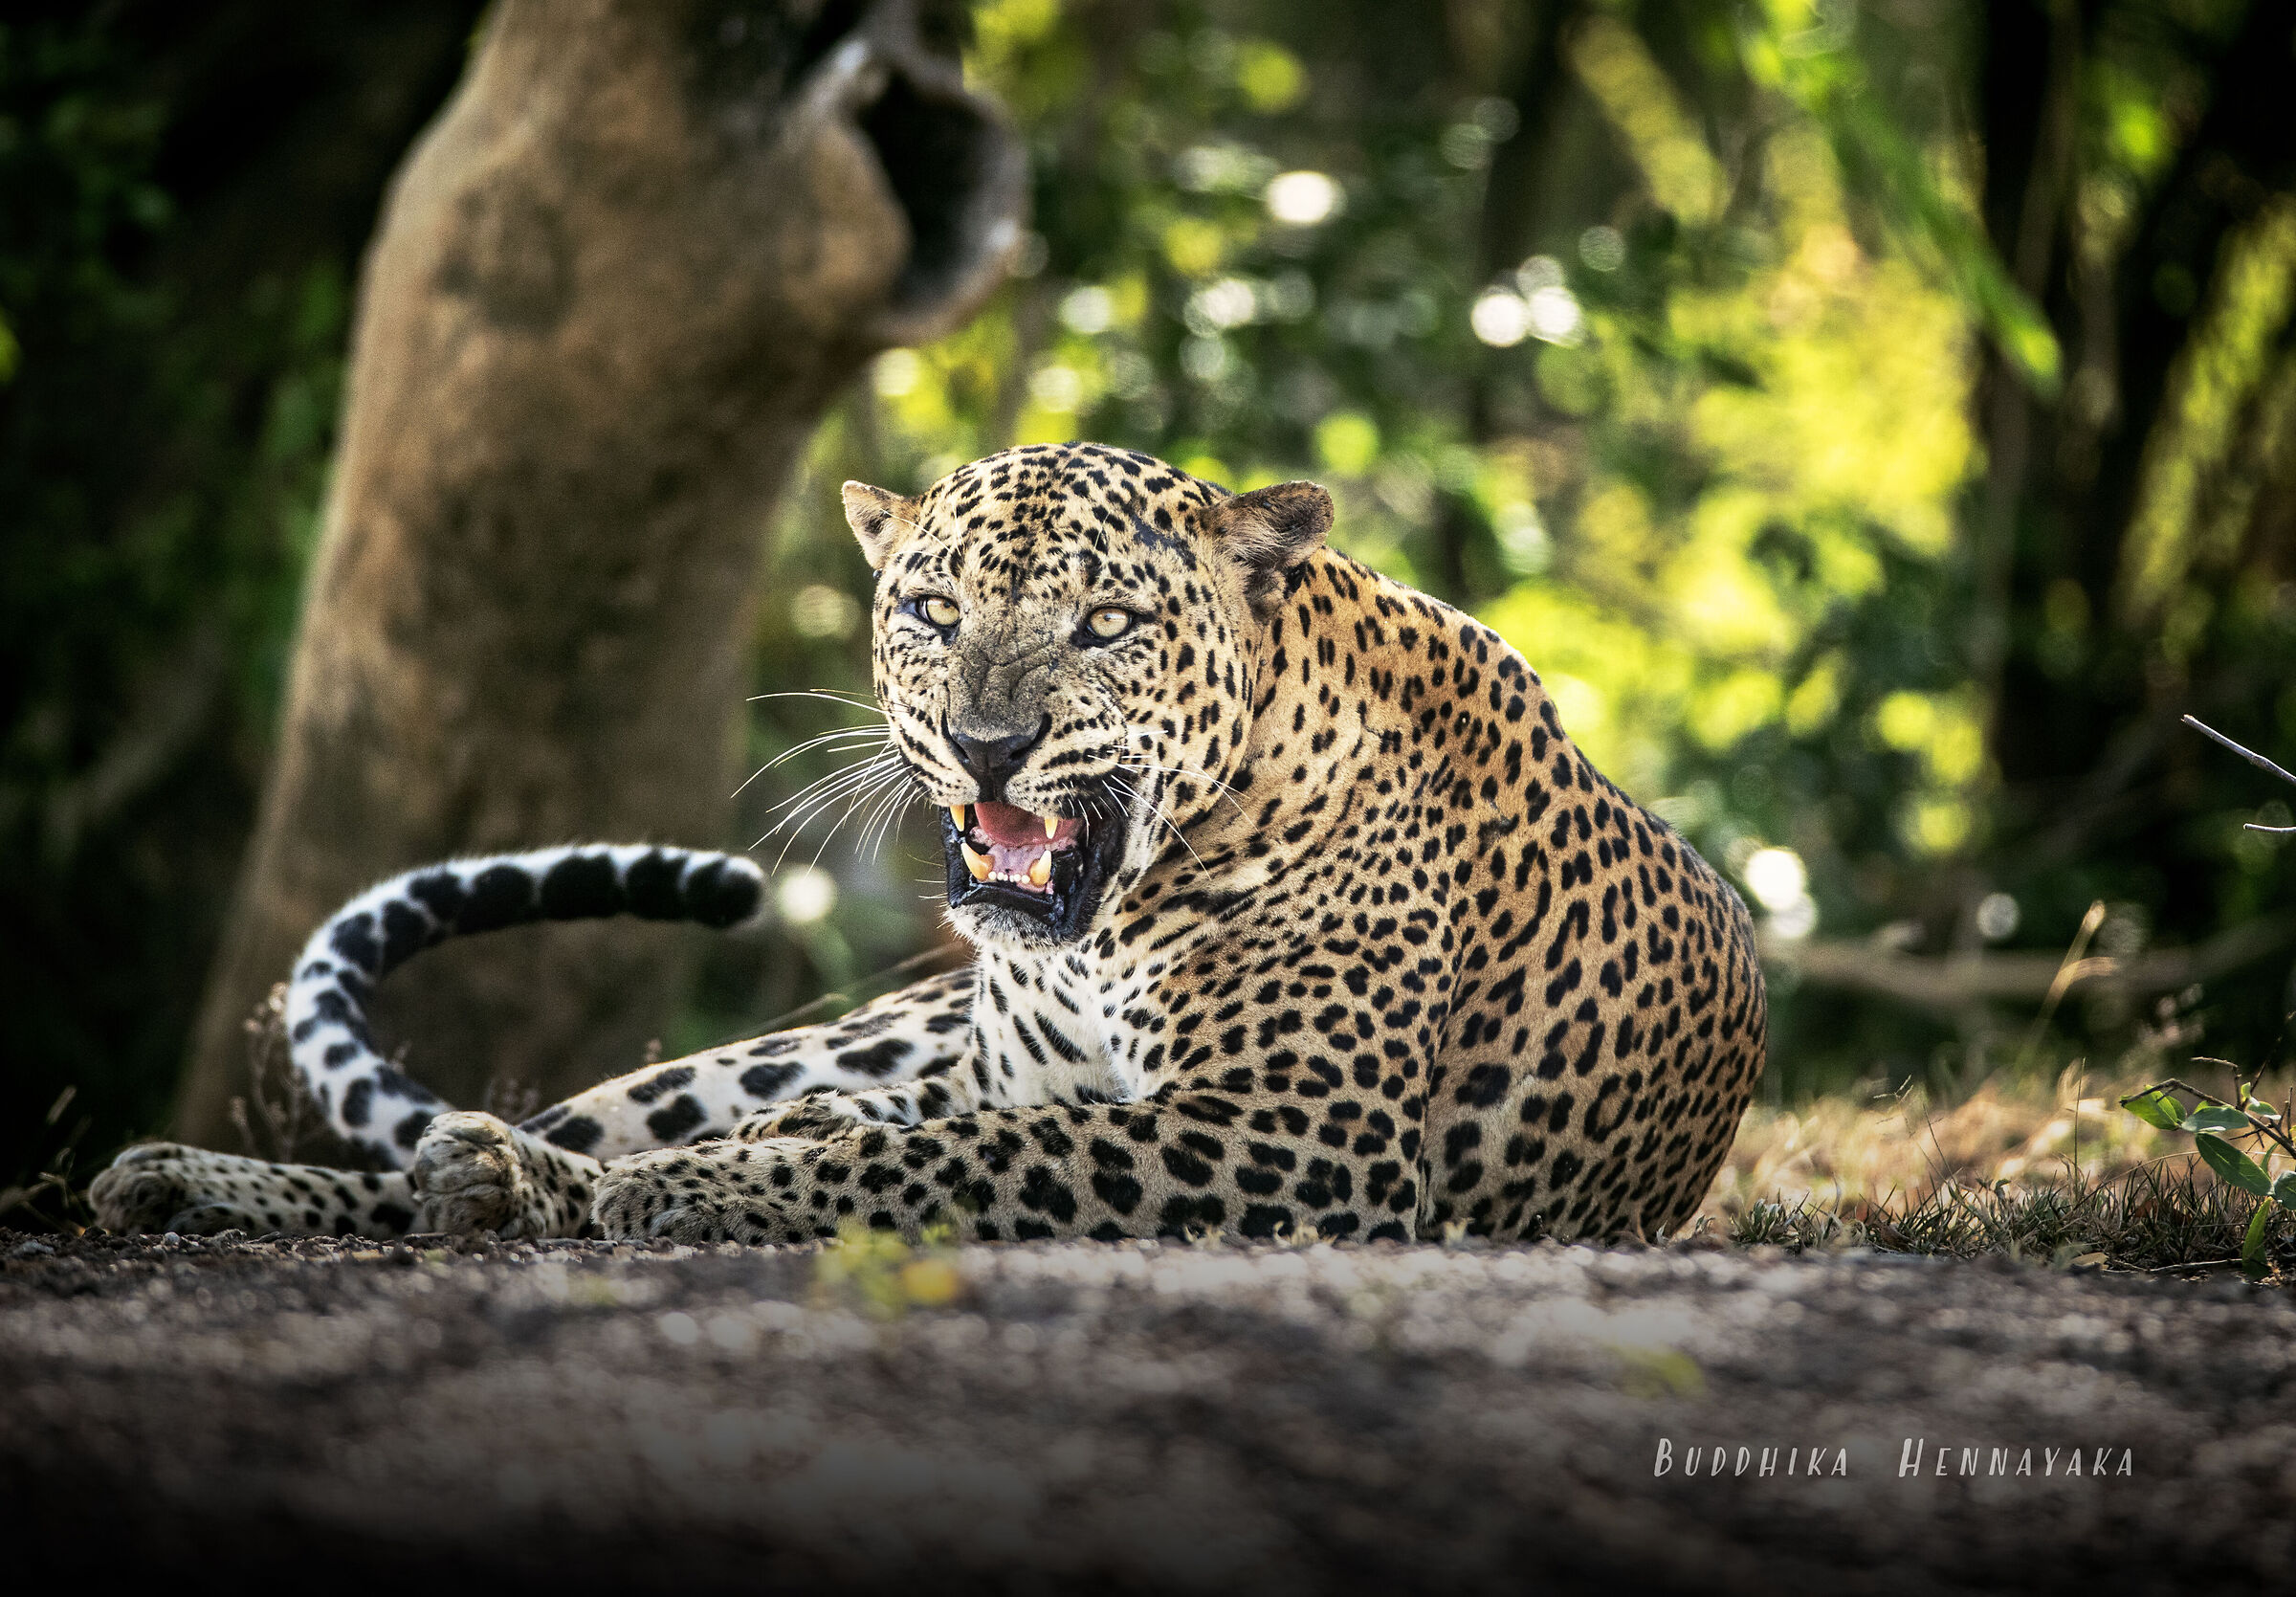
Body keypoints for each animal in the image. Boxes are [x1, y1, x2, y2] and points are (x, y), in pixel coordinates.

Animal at [92, 442, 1766, 1247]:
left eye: (1107, 623)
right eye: (932, 609)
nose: (988, 744)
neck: (1108, 927)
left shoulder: (1304, 1132)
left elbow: (969, 1159)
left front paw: (740, 1192)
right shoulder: (1036, 1077)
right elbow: (959, 1139)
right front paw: (734, 1175)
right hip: (833, 1039)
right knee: (553, 1132)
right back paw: (226, 1181)